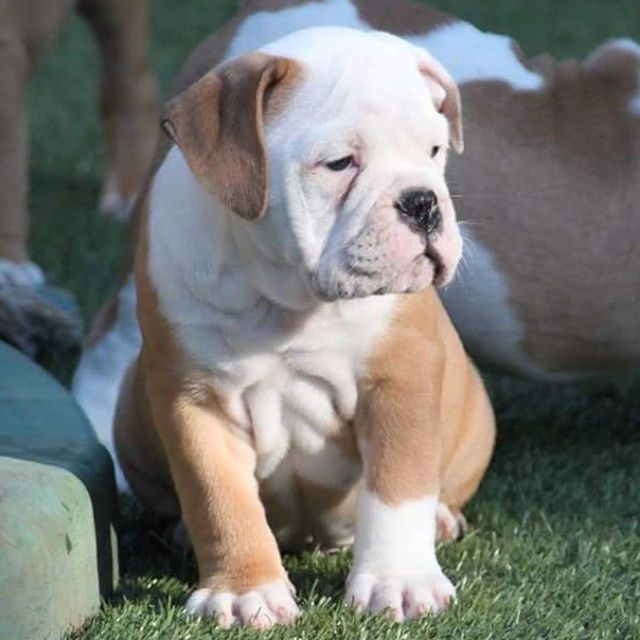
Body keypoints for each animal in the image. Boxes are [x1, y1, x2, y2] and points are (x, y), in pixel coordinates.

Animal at [109, 23, 496, 624]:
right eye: (340, 164)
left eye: (434, 151)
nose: (423, 202)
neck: (287, 298)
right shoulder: (193, 401)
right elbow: (220, 500)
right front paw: (243, 592)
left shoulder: (401, 378)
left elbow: (398, 487)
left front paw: (400, 581)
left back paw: (439, 519)